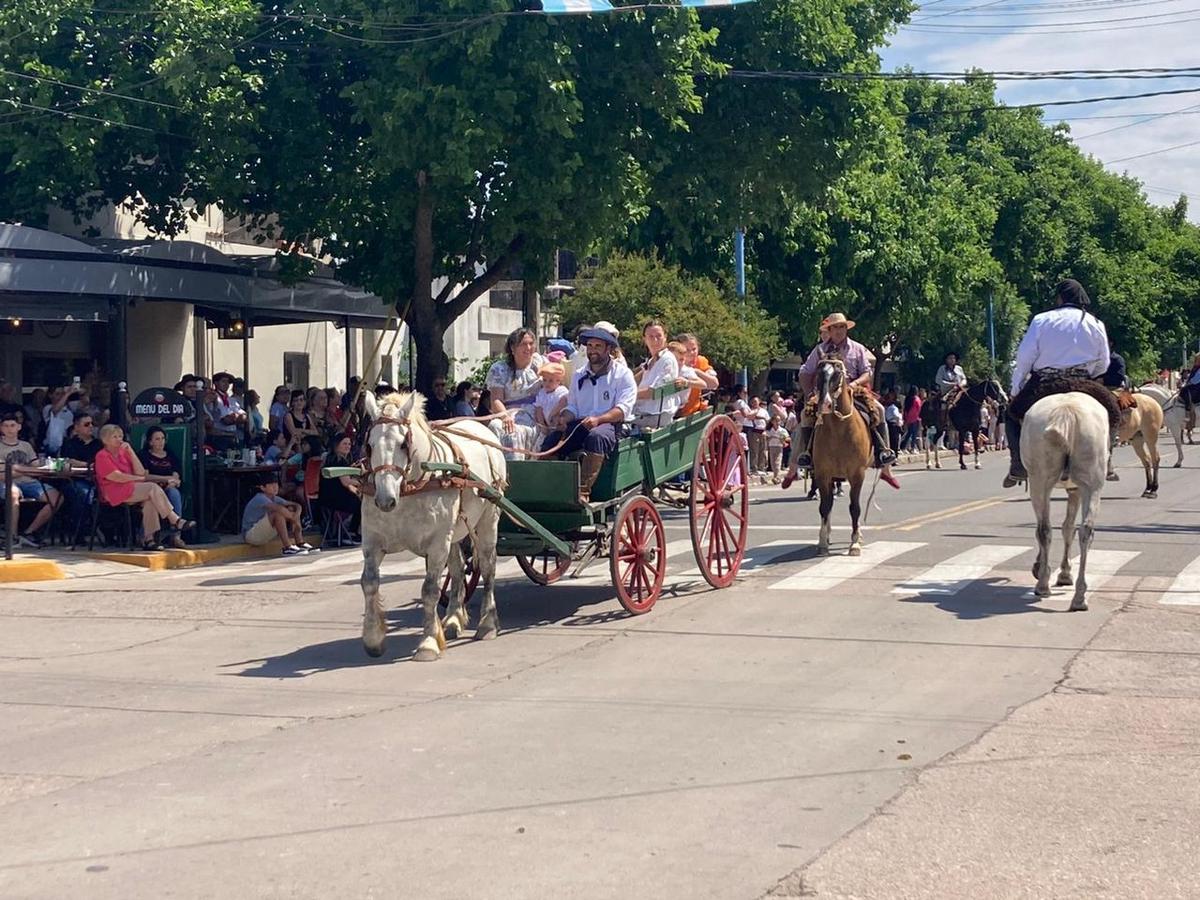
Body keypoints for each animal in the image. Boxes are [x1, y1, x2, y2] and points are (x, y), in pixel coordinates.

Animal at [355, 391, 506, 657]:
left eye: (403, 444)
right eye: (369, 445)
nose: (384, 500)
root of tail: (481, 428)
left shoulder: (436, 544)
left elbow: (429, 590)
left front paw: (428, 643)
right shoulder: (372, 541)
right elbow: (369, 583)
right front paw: (373, 638)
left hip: (488, 521)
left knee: (488, 567)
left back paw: (487, 624)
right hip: (455, 533)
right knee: (457, 571)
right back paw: (453, 619)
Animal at [811, 357, 868, 556]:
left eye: (837, 374)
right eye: (819, 373)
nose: (825, 404)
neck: (838, 430)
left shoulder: (857, 474)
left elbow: (855, 508)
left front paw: (855, 543)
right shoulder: (822, 474)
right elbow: (824, 507)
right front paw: (822, 542)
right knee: (828, 506)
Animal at [1017, 393, 1108, 614]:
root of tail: (1067, 411)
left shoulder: (1072, 489)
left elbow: (1065, 528)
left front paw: (1052, 570)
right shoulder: (1076, 489)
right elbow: (1068, 528)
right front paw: (1062, 573)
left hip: (1040, 482)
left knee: (1045, 529)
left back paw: (1043, 584)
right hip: (1091, 484)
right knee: (1085, 531)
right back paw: (1079, 597)